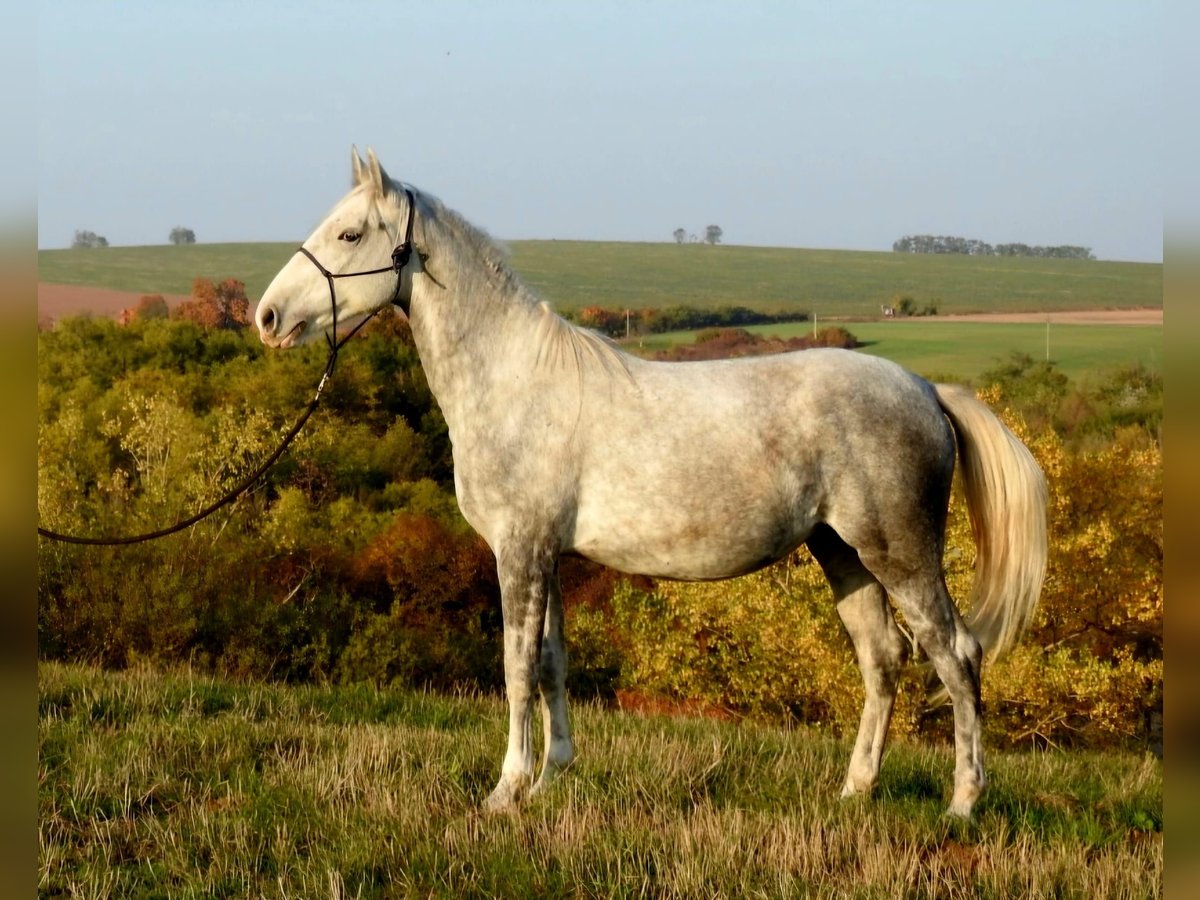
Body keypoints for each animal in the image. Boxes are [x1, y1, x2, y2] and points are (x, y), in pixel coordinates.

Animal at [258, 150, 1046, 825]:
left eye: (350, 232)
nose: (267, 318)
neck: (515, 380)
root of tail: (927, 390)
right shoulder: (548, 555)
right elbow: (552, 664)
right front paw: (551, 778)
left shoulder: (520, 551)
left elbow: (516, 666)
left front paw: (505, 790)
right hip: (842, 554)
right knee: (882, 659)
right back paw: (854, 791)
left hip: (901, 554)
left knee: (956, 653)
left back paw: (963, 803)